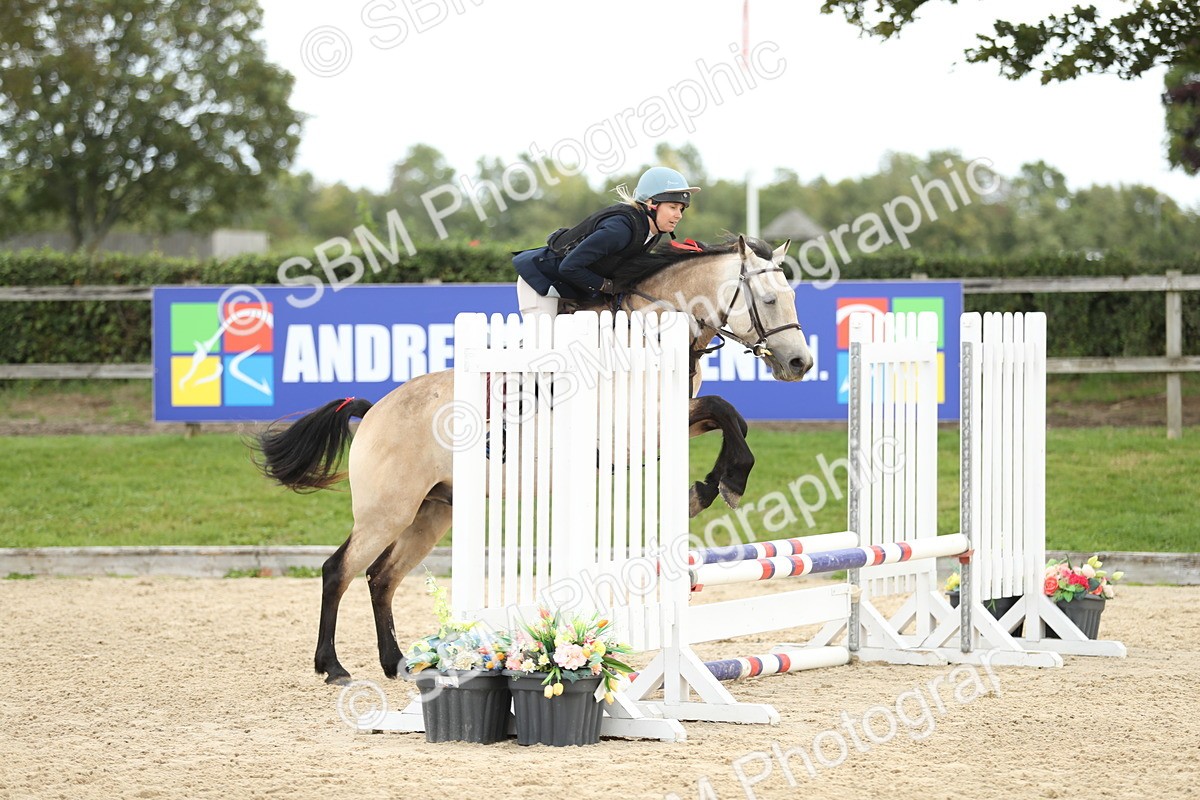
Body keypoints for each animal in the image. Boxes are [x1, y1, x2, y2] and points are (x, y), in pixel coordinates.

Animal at [253, 235, 813, 685]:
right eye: (768, 299)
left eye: (791, 297)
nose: (799, 363)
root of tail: (373, 411)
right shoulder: (633, 432)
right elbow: (724, 410)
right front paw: (722, 484)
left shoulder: (670, 421)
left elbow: (727, 415)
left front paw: (715, 483)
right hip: (387, 511)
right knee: (338, 571)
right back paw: (332, 667)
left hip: (430, 513)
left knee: (381, 578)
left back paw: (394, 663)